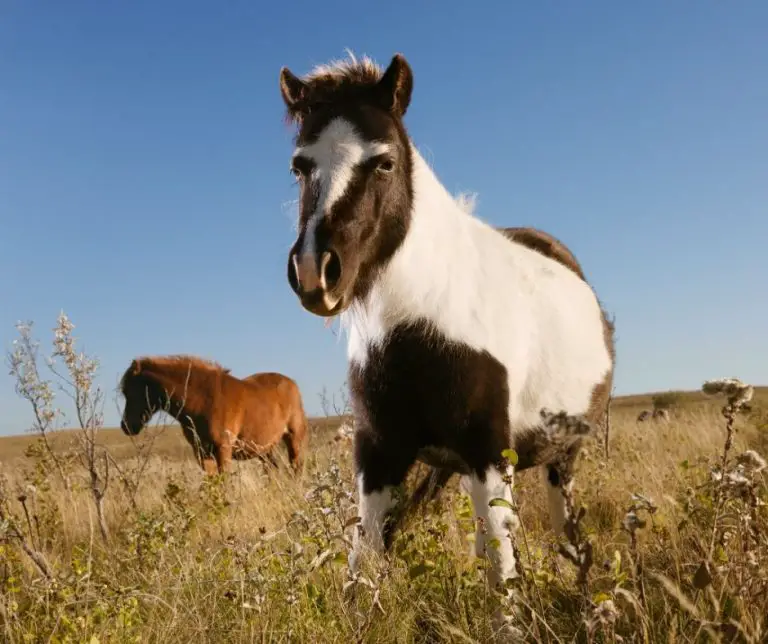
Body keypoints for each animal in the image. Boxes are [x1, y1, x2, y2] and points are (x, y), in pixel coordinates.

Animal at [119, 355, 309, 474]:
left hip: (293, 439)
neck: (203, 401)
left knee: (296, 468)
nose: (126, 426)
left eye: (131, 391)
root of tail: (292, 383)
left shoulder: (223, 450)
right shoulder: (202, 454)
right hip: (265, 448)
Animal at [278, 52, 615, 593]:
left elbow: (502, 578)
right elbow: (363, 567)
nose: (315, 271)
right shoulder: (378, 454)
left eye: (385, 162)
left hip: (562, 457)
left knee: (565, 530)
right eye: (299, 166)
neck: (416, 323)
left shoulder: (489, 454)